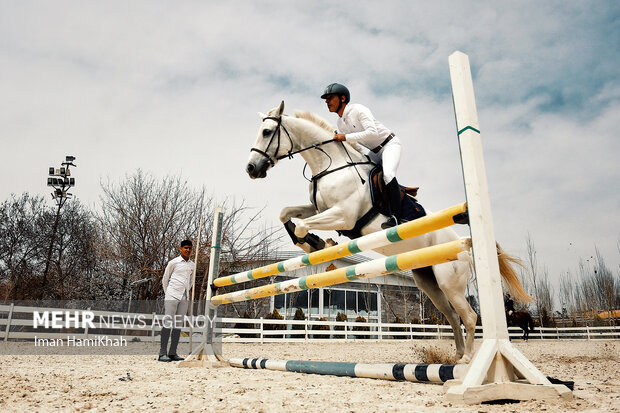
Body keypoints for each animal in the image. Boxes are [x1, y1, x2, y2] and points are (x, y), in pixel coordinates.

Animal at [245, 101, 532, 362]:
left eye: (267, 132)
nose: (251, 169)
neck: (331, 165)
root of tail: (466, 242)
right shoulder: (318, 208)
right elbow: (285, 213)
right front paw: (311, 243)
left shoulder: (344, 216)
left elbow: (305, 225)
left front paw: (317, 243)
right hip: (428, 282)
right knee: (452, 315)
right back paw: (456, 357)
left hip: (449, 281)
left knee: (469, 316)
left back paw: (467, 360)